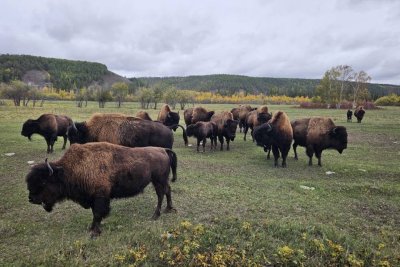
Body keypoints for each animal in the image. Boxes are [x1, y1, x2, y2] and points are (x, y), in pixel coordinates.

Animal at [26, 143, 178, 238]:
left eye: (44, 182)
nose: (31, 199)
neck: (68, 170)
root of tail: (163, 150)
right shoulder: (93, 198)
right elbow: (95, 215)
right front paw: (91, 228)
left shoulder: (100, 197)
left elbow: (98, 214)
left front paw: (95, 232)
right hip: (161, 180)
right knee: (167, 191)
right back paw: (168, 209)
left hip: (158, 180)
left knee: (160, 195)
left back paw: (155, 215)